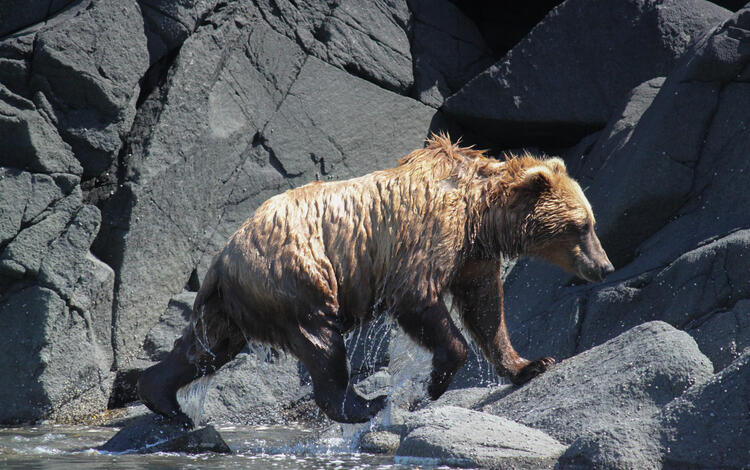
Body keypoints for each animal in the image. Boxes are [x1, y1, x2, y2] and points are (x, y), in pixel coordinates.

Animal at [137, 134, 614, 427]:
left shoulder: (472, 256)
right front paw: (435, 381)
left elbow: (487, 311)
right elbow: (418, 298)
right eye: (581, 225)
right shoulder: (427, 237)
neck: (480, 213)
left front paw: (532, 364)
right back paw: (365, 403)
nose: (605, 266)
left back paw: (161, 396)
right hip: (296, 277)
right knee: (321, 344)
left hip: (235, 302)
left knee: (206, 348)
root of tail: (222, 256)